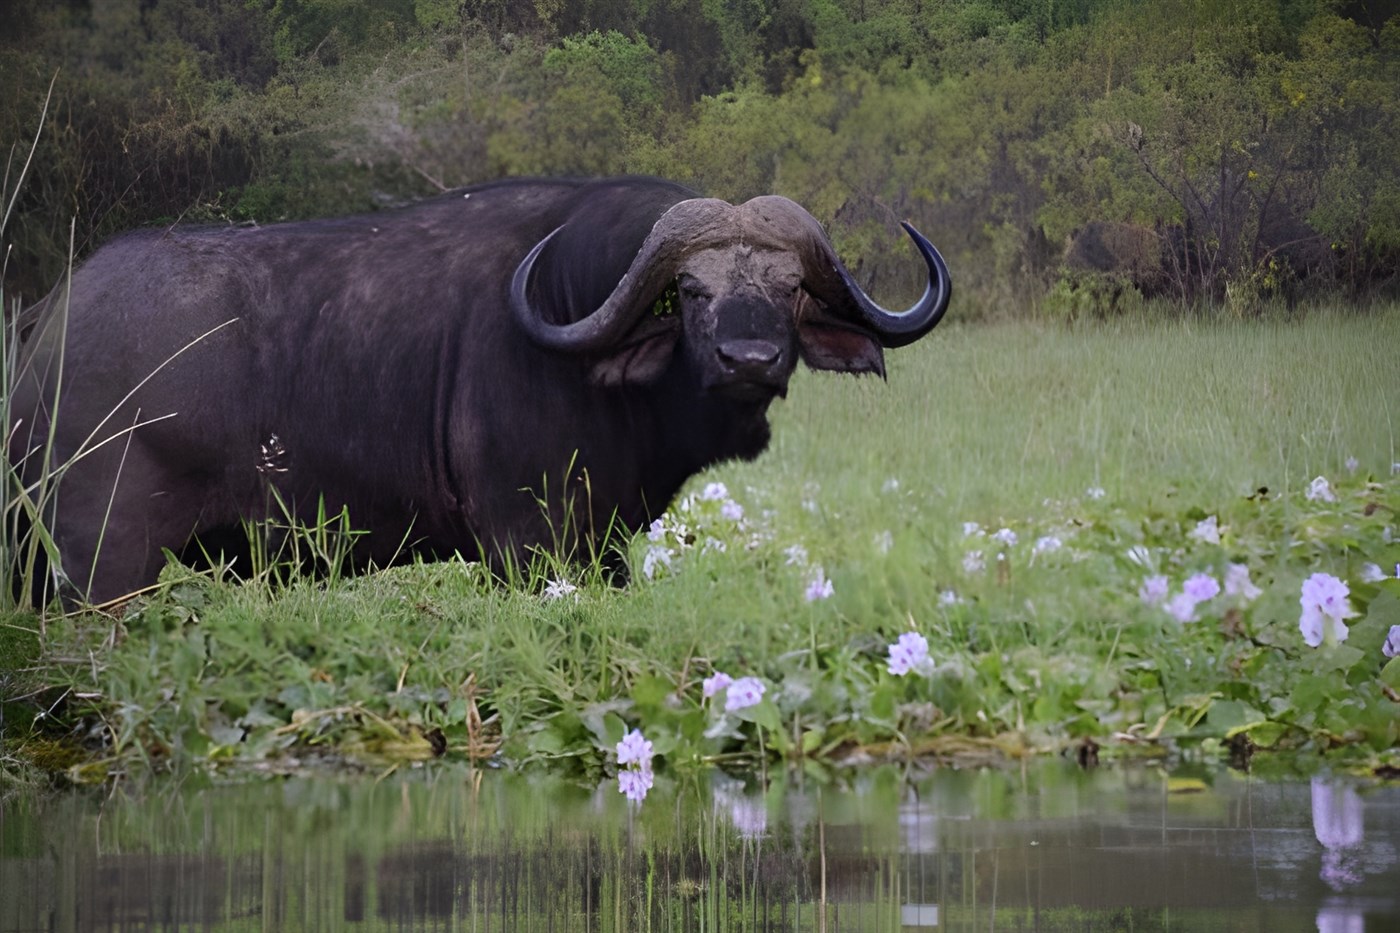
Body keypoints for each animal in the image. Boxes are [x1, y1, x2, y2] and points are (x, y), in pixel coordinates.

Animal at [8, 176, 950, 604]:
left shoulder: (603, 546)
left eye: (790, 290)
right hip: (105, 562)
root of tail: (47, 327)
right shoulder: (522, 542)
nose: (749, 358)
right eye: (691, 291)